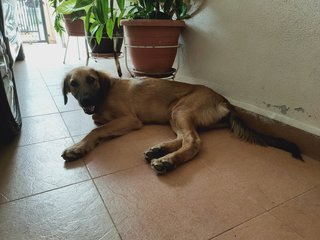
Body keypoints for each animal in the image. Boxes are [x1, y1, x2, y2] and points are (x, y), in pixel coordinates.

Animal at [60, 66, 302, 174]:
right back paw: (158, 150)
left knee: (193, 141)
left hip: (180, 110)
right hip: (174, 114)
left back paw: (167, 161)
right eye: (73, 84)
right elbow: (98, 127)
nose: (86, 100)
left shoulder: (130, 120)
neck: (105, 93)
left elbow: (95, 130)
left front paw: (76, 148)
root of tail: (224, 100)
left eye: (91, 80)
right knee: (184, 137)